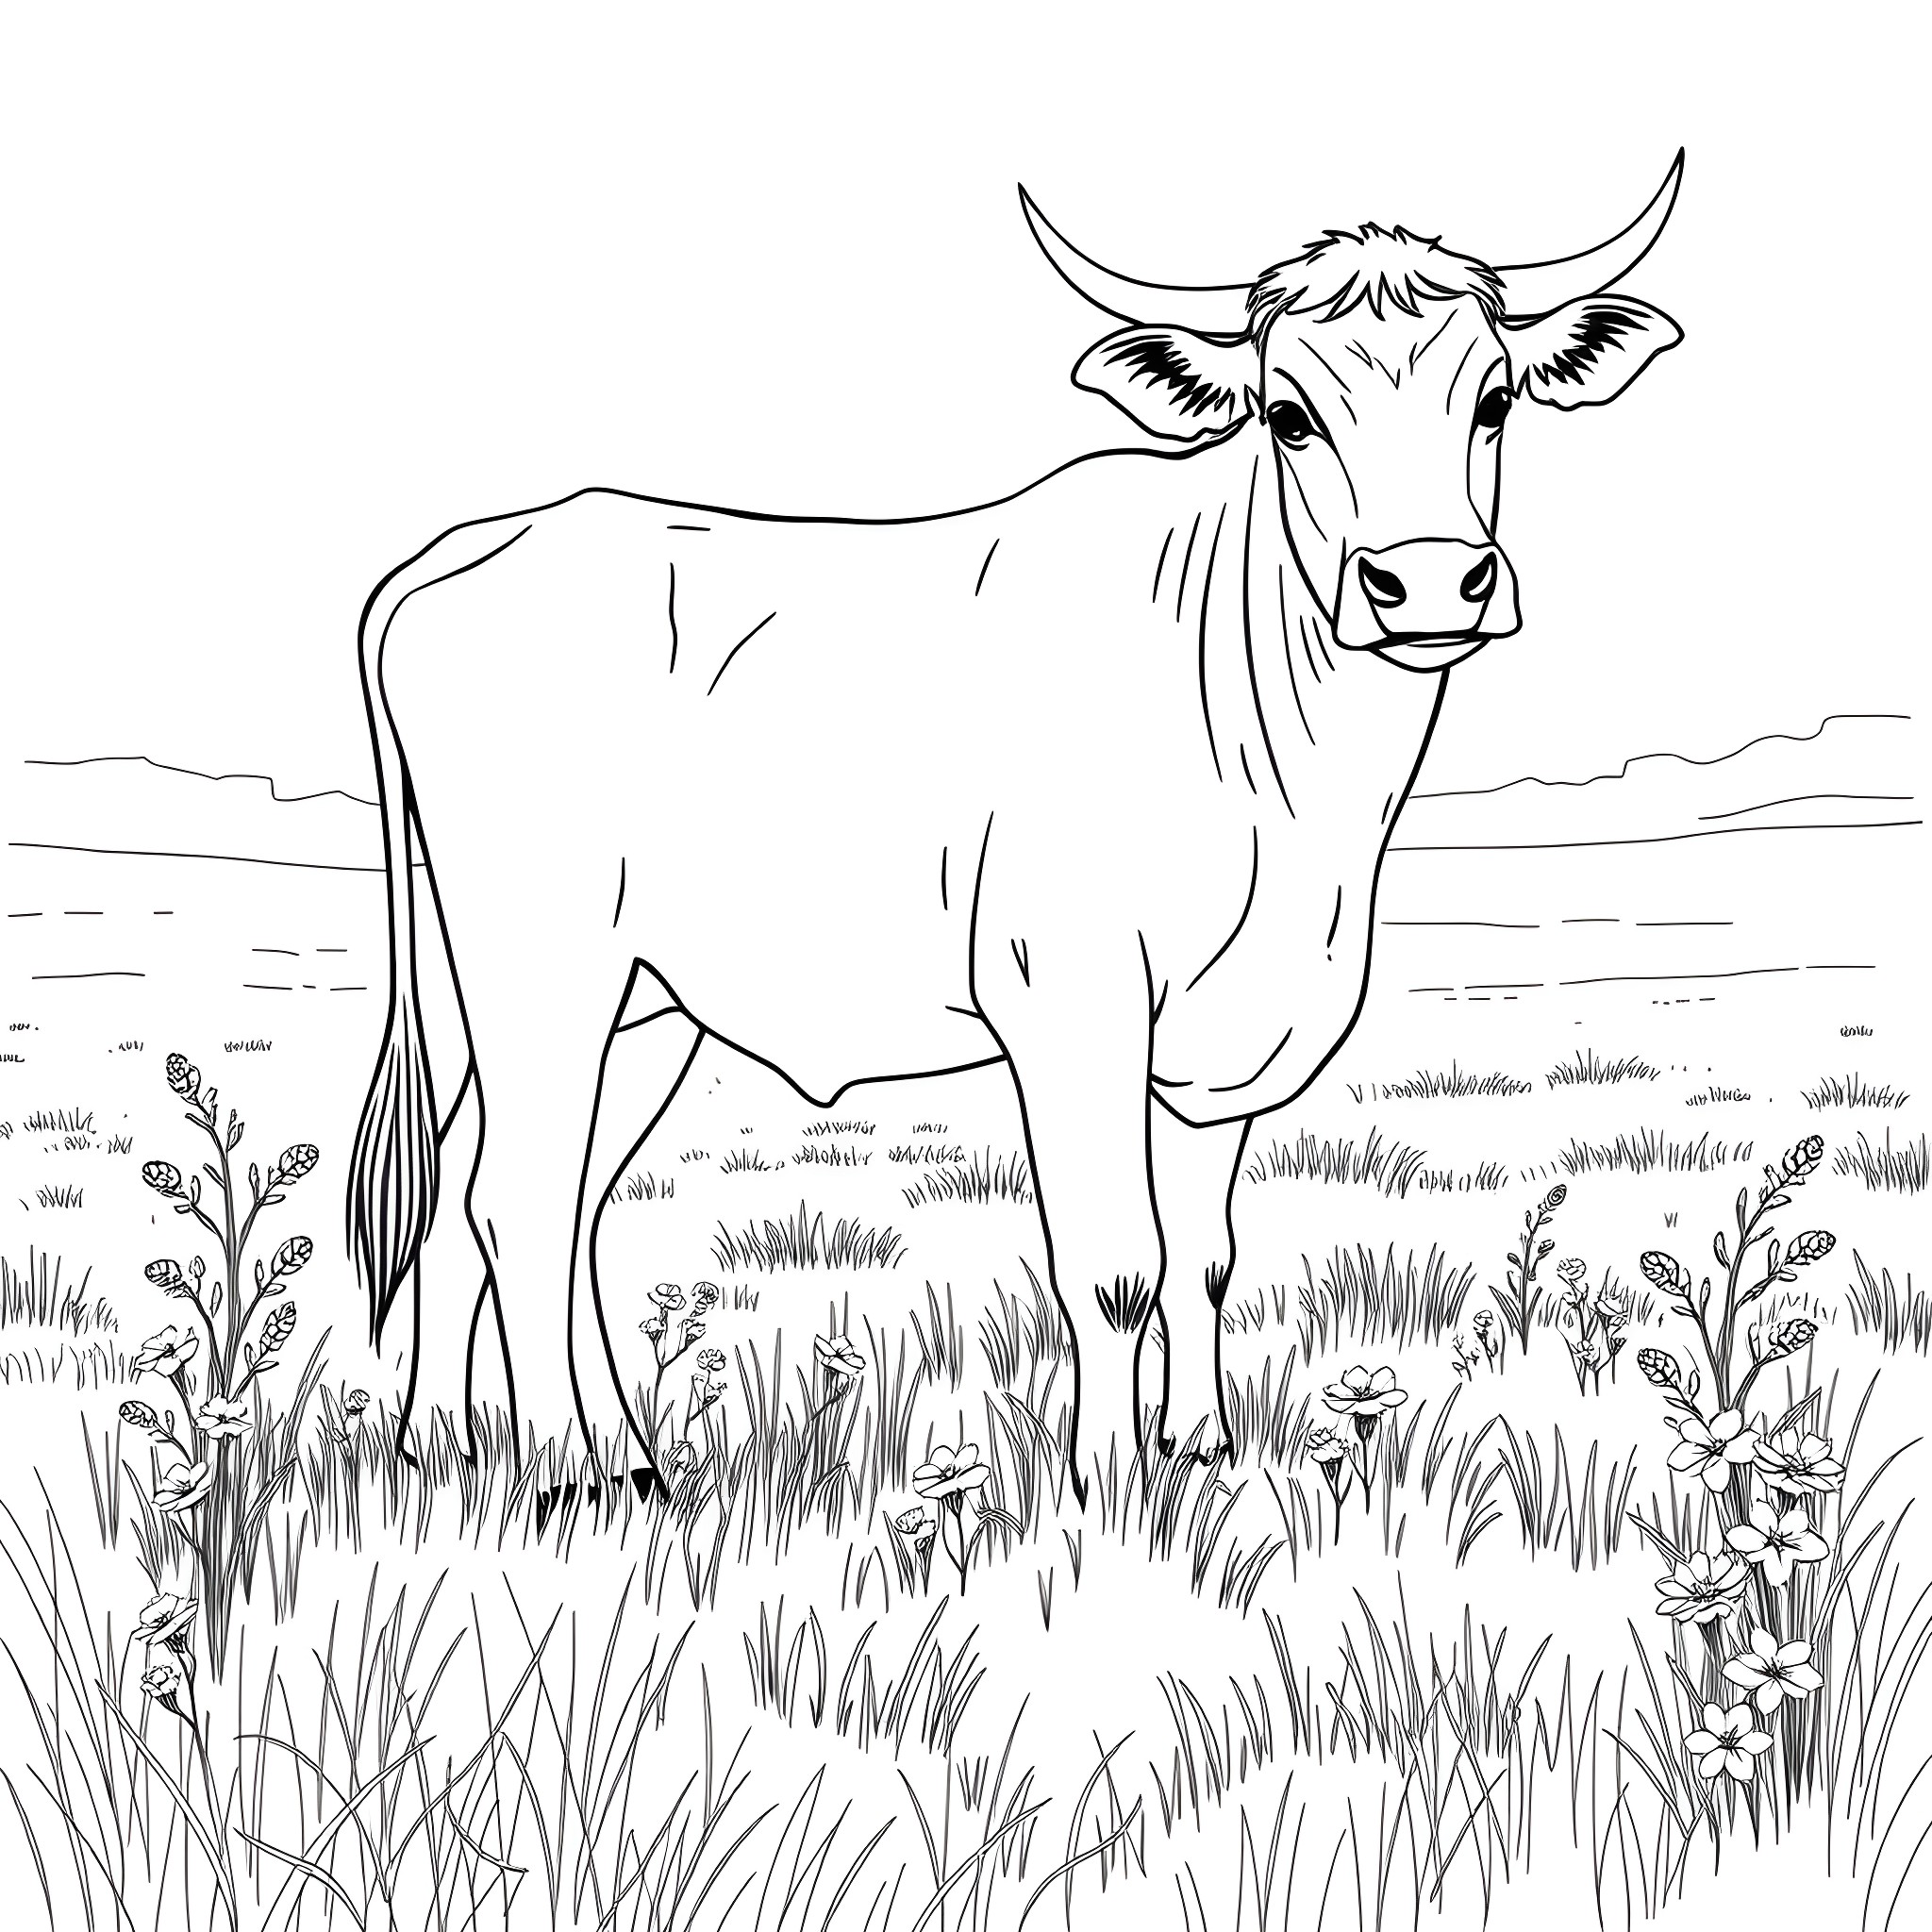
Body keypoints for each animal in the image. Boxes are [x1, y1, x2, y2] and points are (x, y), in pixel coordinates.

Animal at [349, 159, 1684, 1500]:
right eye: (1286, 415)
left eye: (1495, 401)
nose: (1428, 583)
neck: (1302, 811)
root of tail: (473, 546)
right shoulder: (1068, 996)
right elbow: (1114, 1265)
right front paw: (1108, 1483)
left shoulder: (1220, 1040)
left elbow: (1204, 1253)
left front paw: (1199, 1444)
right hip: (542, 969)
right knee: (519, 1199)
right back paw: (564, 1468)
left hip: (637, 999)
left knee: (501, 1199)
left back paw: (490, 1446)